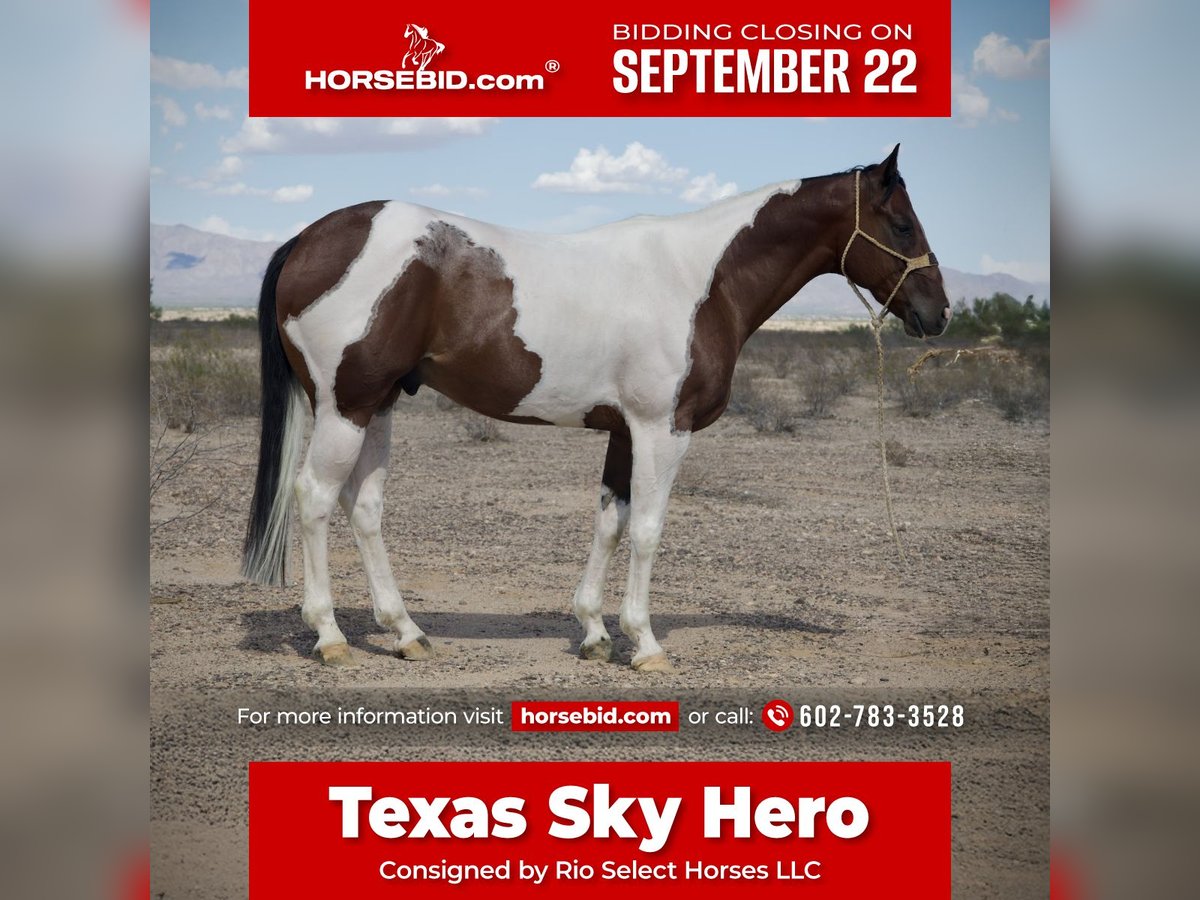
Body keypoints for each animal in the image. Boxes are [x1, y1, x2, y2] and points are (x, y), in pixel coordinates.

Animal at [241, 145, 950, 672]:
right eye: (902, 224)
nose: (937, 313)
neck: (699, 279)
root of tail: (306, 238)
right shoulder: (664, 430)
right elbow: (647, 530)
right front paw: (646, 644)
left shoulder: (624, 432)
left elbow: (610, 521)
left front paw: (594, 633)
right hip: (346, 408)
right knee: (314, 498)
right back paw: (331, 637)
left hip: (378, 406)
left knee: (364, 508)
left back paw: (406, 632)